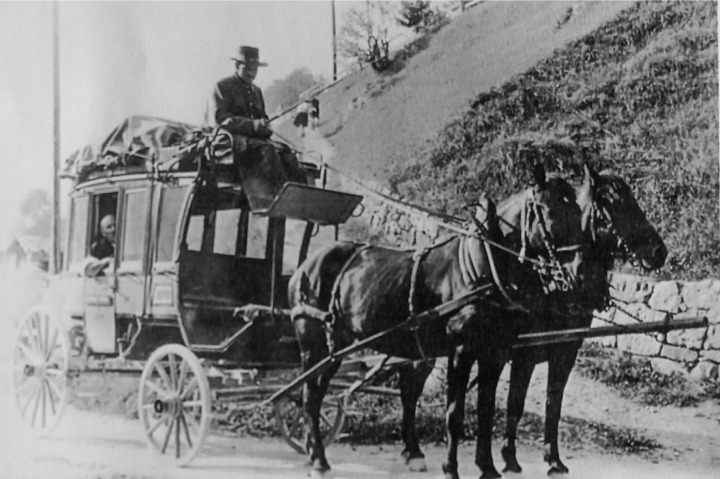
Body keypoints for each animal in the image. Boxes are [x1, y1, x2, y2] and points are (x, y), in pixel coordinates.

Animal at [286, 166, 592, 479]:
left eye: (577, 209)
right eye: (549, 210)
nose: (580, 272)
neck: (483, 267)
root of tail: (306, 266)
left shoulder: (494, 354)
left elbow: (485, 412)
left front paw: (488, 467)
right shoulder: (461, 351)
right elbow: (454, 414)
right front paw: (451, 468)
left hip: (334, 349)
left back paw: (317, 453)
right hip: (316, 346)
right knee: (310, 396)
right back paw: (319, 458)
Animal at [390, 164, 668, 476]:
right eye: (616, 204)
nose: (659, 252)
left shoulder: (564, 351)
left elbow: (552, 404)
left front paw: (552, 459)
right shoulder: (523, 355)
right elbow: (515, 404)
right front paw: (510, 458)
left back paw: (411, 449)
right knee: (411, 386)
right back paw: (413, 449)